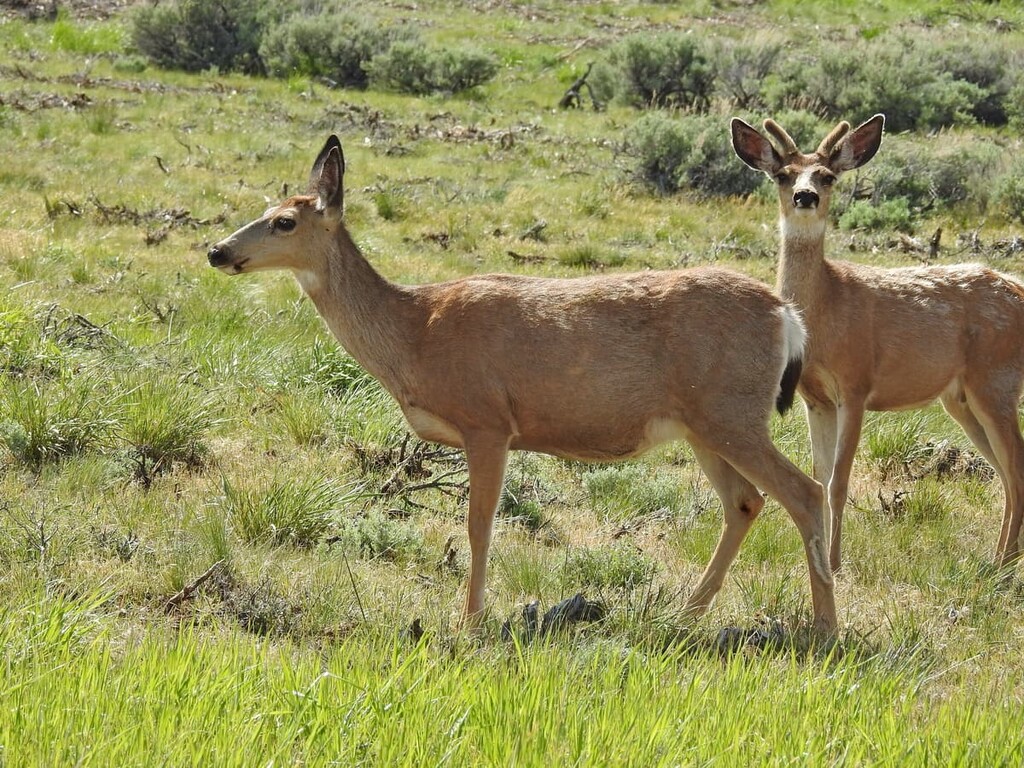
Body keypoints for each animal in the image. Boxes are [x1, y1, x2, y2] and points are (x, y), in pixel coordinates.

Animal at [207, 135, 837, 635]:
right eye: (266, 207)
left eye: (285, 221)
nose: (218, 251)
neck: (414, 332)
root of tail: (787, 315)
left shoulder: (487, 421)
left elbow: (478, 524)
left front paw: (470, 622)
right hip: (703, 425)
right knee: (745, 501)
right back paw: (684, 613)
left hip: (733, 413)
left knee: (806, 492)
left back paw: (824, 629)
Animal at [731, 113, 1024, 575]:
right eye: (783, 174)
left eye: (828, 176)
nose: (804, 196)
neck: (826, 310)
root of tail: (1018, 288)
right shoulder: (815, 398)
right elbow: (819, 476)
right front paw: (818, 558)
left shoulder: (856, 384)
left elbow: (839, 481)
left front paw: (835, 563)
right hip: (960, 398)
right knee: (1005, 470)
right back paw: (999, 561)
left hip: (996, 379)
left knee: (1016, 466)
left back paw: (1004, 565)